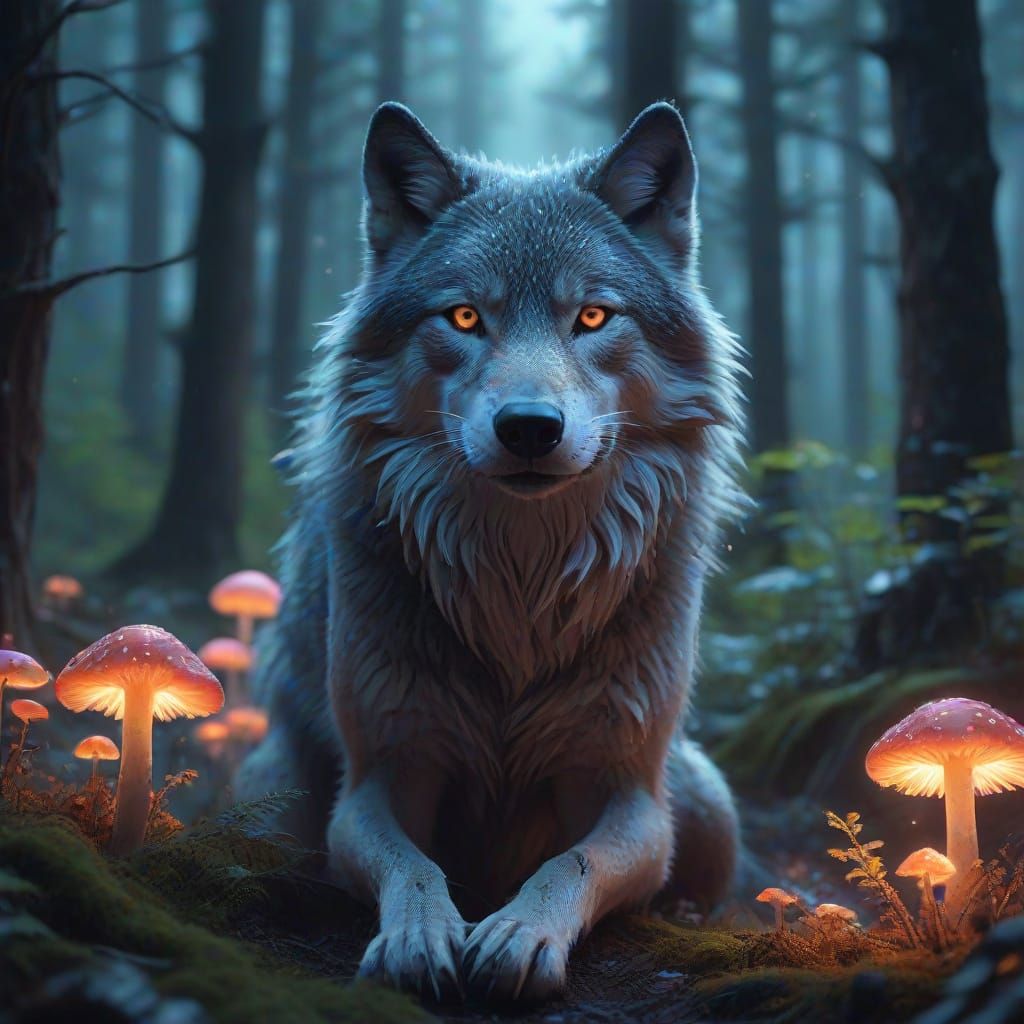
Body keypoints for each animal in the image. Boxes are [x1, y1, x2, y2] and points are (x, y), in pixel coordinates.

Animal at [237, 100, 745, 1004]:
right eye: (466, 317)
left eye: (592, 317)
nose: (530, 428)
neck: (520, 590)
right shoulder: (380, 776)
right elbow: (411, 866)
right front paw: (420, 937)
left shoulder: (630, 793)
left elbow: (574, 864)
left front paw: (517, 933)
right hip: (271, 785)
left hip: (707, 798)